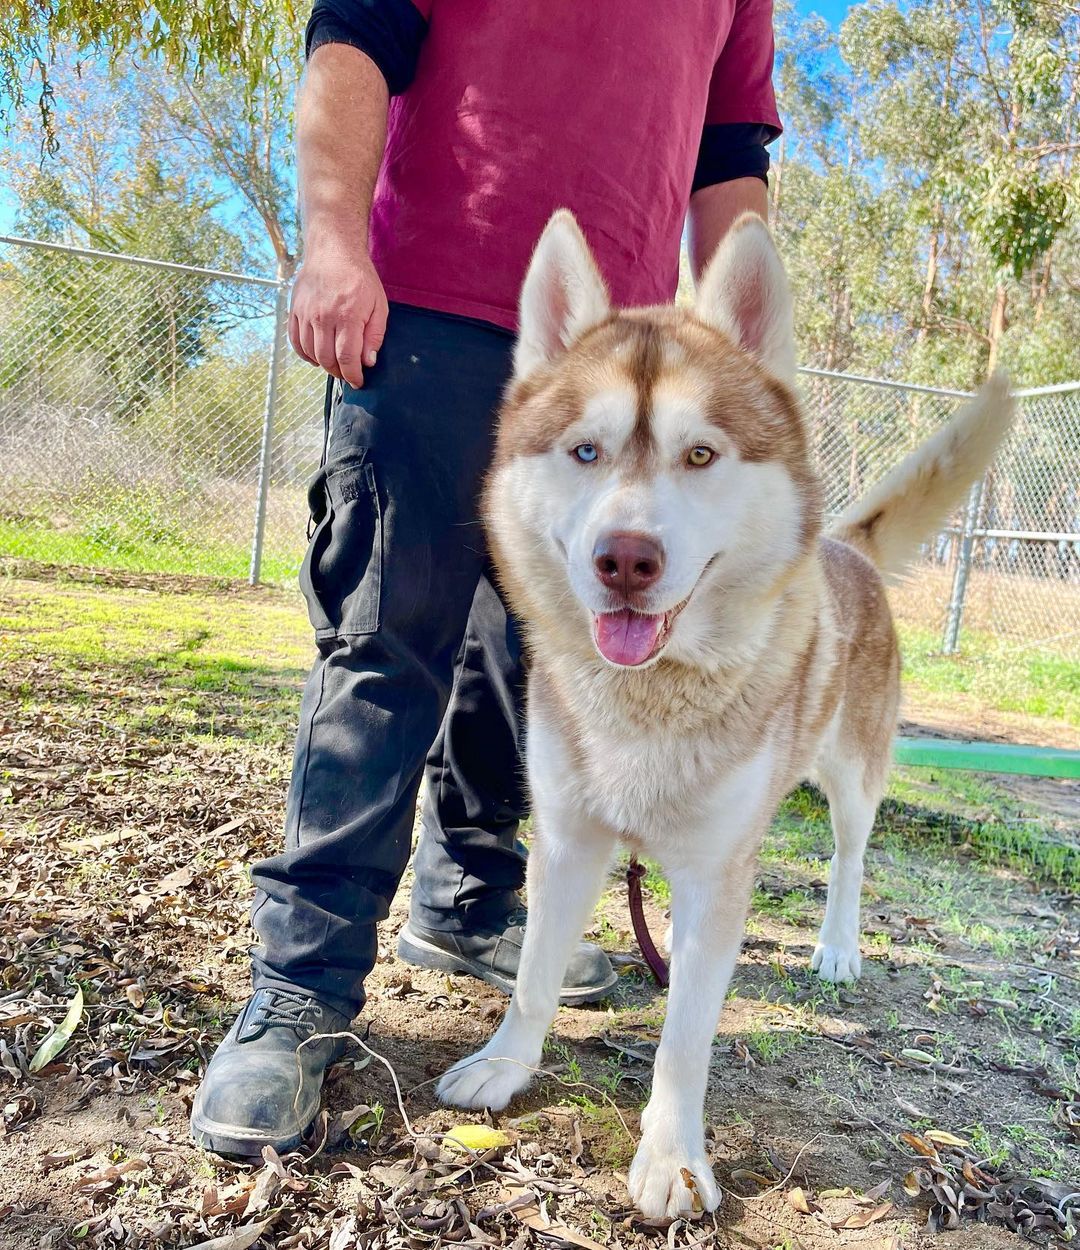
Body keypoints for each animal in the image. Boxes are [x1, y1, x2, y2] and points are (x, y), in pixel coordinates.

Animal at [435, 210, 1010, 1215]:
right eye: (585, 451)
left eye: (700, 454)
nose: (626, 559)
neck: (649, 698)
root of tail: (841, 545)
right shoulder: (568, 841)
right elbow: (535, 975)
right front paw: (507, 1066)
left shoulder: (716, 875)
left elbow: (685, 1037)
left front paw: (672, 1158)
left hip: (853, 779)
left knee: (849, 856)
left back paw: (837, 947)